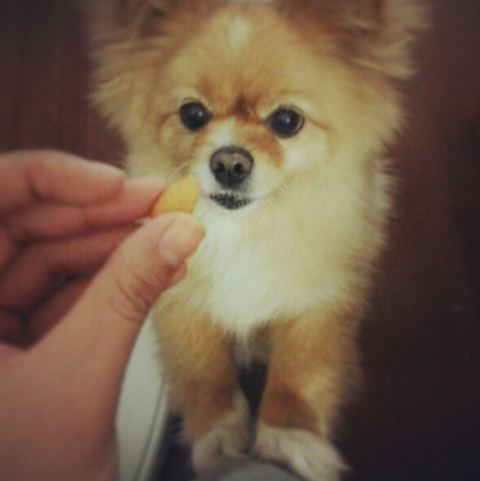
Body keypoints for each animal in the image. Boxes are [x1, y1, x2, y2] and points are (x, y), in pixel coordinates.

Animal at [87, 1, 427, 479]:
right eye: (192, 114)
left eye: (286, 121)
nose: (229, 162)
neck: (246, 229)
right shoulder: (181, 300)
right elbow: (201, 368)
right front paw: (218, 437)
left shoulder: (317, 302)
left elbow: (302, 370)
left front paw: (290, 437)